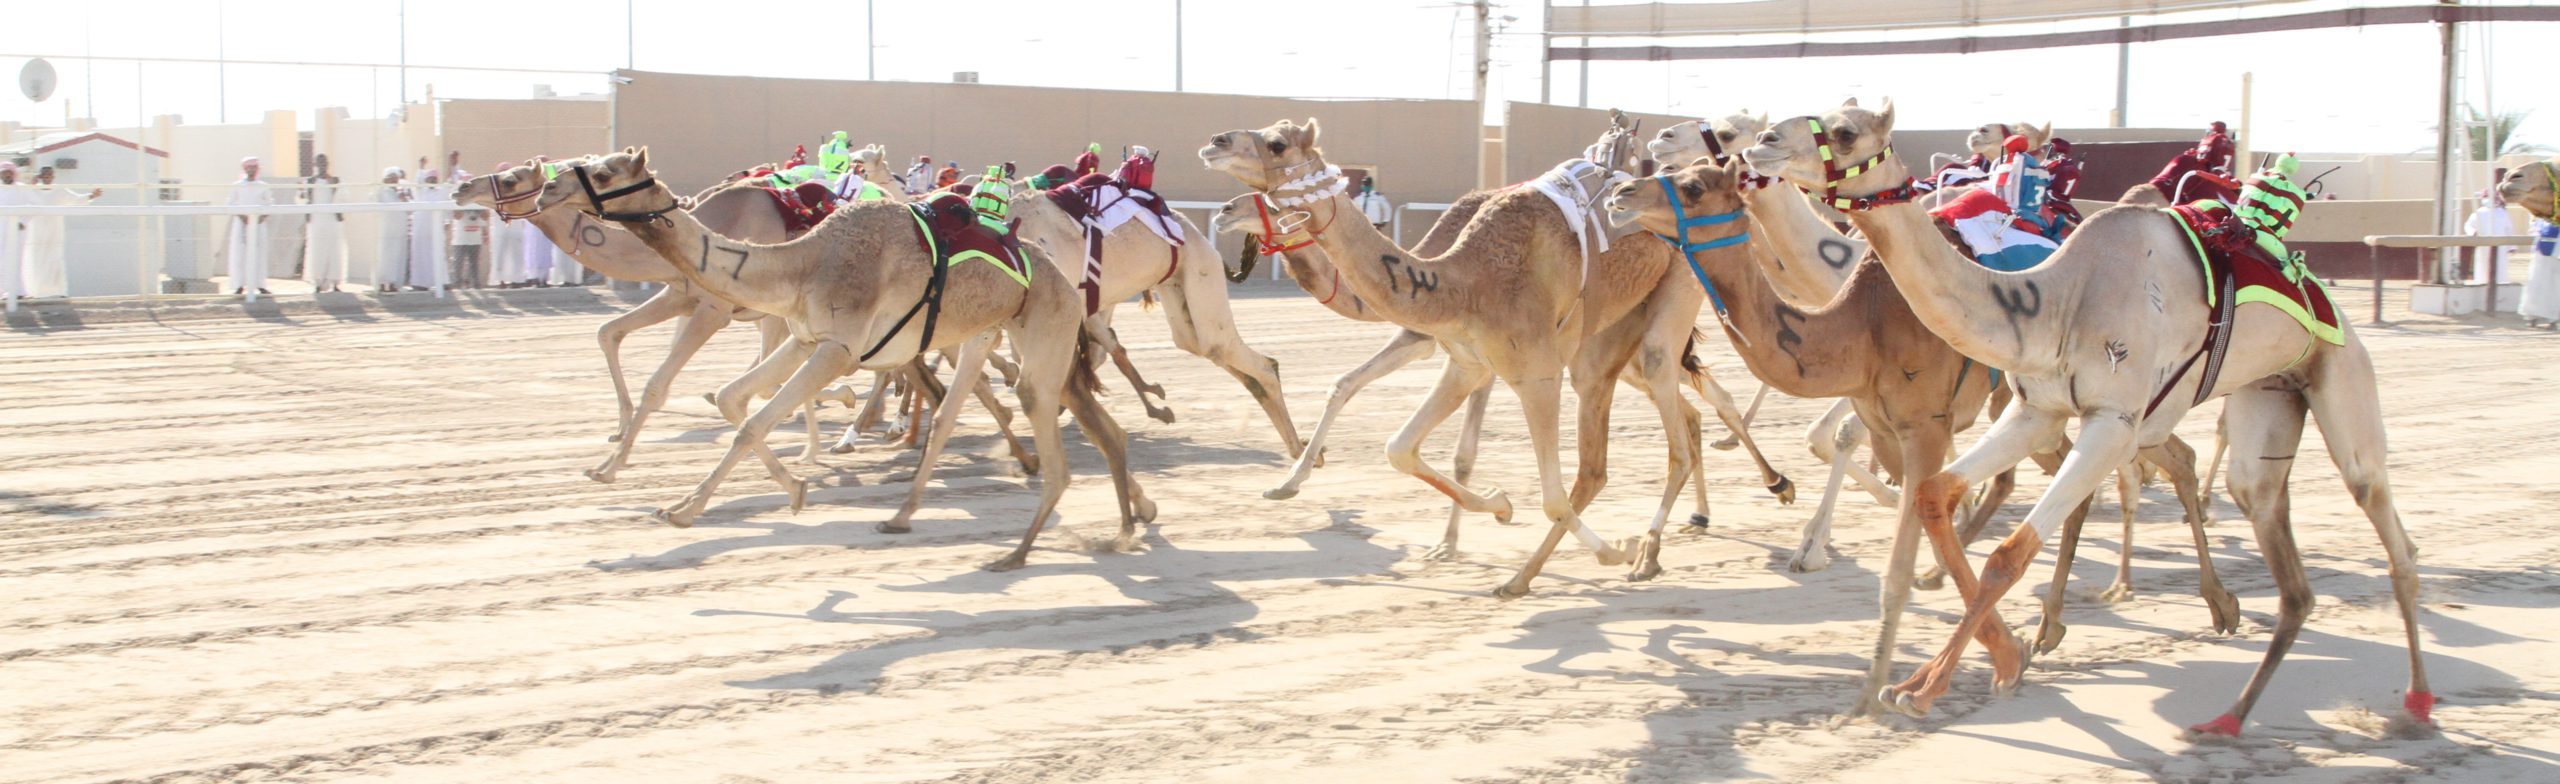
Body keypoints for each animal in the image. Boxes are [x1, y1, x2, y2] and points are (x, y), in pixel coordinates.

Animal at [545, 149, 1146, 573]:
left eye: (605, 172)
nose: (551, 183)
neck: (802, 260)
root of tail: (1058, 274)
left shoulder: (839, 347)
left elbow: (752, 422)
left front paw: (687, 509)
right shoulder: (804, 337)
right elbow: (733, 398)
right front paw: (791, 485)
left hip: (1040, 330)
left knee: (1040, 426)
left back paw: (1020, 550)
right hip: (1007, 336)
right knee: (1055, 417)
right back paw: (1126, 521)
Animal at [1203, 119, 1761, 591]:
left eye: (1277, 143)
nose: (1215, 143)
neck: (1461, 280)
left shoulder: (1531, 372)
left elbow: (1549, 494)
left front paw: (1613, 551)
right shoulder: (1466, 361)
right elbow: (1398, 446)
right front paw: (1497, 507)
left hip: (1676, 292)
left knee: (1658, 441)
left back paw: (1643, 552)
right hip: (1608, 340)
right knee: (1670, 422)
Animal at [1751, 99, 2426, 732]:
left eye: (1845, 132)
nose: (1763, 142)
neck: (2054, 301)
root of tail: (2320, 291)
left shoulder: (2112, 422)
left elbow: (2008, 554)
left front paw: (1929, 686)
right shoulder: (2038, 411)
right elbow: (1936, 494)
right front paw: (1989, 654)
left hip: (2338, 375)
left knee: (2383, 516)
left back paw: (2414, 698)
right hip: (2267, 396)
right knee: (2257, 506)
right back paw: (2221, 666)